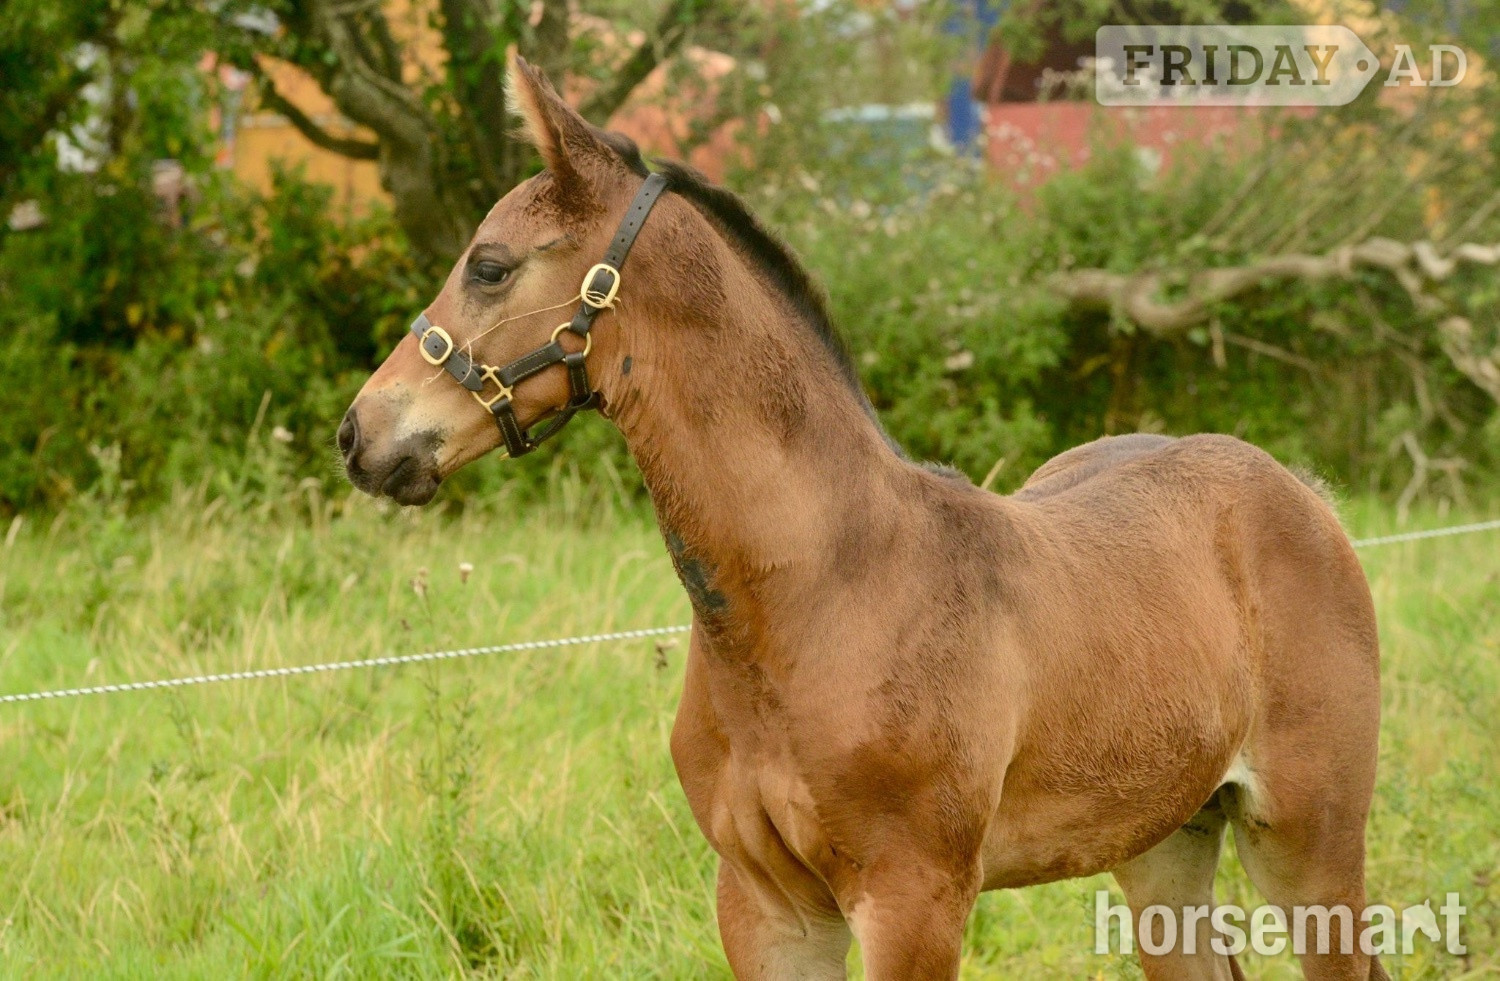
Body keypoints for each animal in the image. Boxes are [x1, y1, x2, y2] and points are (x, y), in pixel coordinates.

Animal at [339, 54, 1387, 981]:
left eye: (489, 266)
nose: (360, 433)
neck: (820, 592)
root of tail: (1301, 491)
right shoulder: (765, 906)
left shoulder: (913, 897)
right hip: (1162, 840)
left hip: (1309, 839)